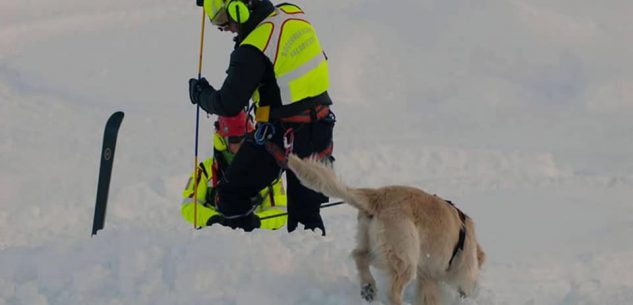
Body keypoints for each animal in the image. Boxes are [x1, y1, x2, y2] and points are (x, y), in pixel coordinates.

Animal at [286, 154, 484, 304]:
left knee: (359, 255)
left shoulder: (427, 276)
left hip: (376, 244)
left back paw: (368, 289)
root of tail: (378, 196)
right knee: (392, 290)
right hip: (404, 254)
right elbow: (464, 285)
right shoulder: (464, 272)